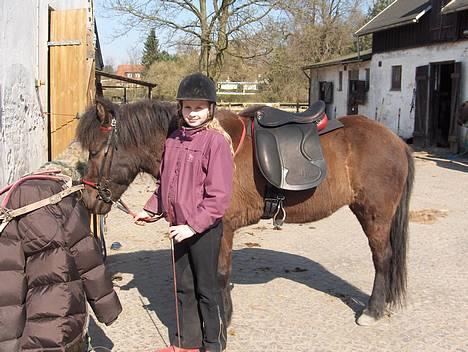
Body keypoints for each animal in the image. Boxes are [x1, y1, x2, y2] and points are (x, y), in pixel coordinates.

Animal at [78, 97, 414, 326]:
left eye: (95, 151)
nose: (88, 199)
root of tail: (396, 141)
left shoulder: (222, 228)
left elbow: (219, 274)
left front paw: (222, 318)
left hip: (374, 215)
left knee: (382, 258)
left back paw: (372, 310)